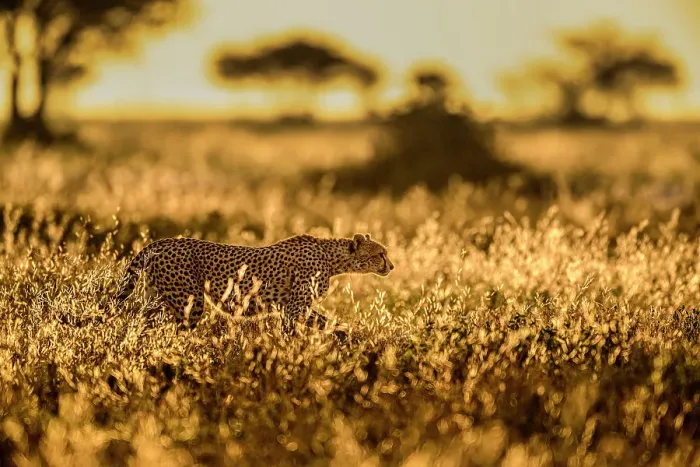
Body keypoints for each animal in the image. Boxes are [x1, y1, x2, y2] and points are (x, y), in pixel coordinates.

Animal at [110, 232, 394, 338]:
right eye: (380, 253)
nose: (391, 266)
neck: (331, 257)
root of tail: (164, 241)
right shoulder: (293, 308)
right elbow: (298, 331)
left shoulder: (293, 308)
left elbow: (326, 323)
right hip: (189, 303)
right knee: (174, 331)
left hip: (159, 297)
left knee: (141, 322)